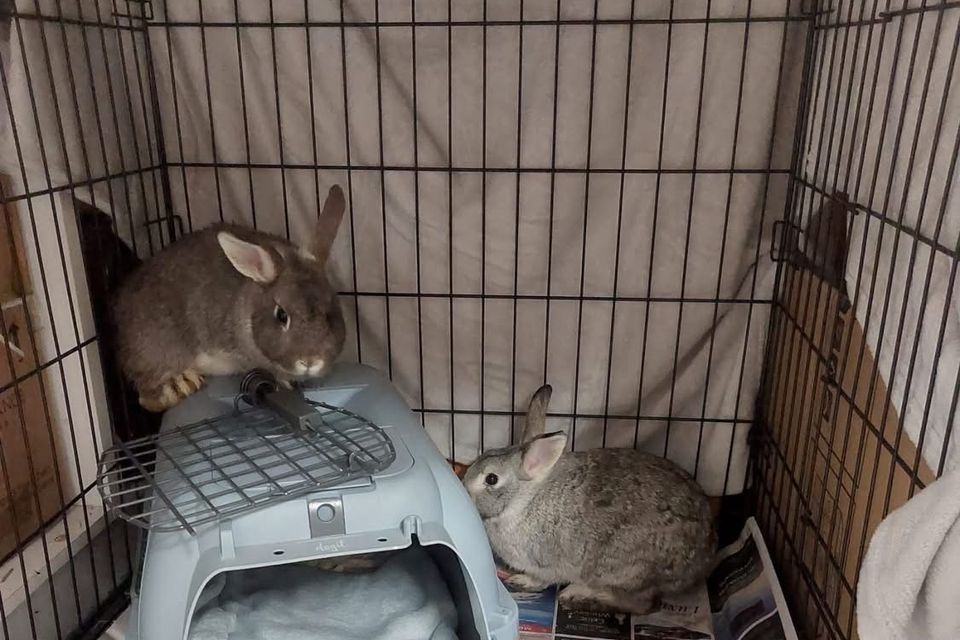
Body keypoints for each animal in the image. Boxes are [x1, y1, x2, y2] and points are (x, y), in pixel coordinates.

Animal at [113, 185, 347, 412]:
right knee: (147, 397)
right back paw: (182, 385)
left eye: (330, 313)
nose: (310, 360)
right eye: (282, 315)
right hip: (161, 349)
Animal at [462, 384, 717, 614]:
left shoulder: (546, 563)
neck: (523, 500)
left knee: (642, 605)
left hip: (625, 570)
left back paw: (580, 594)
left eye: (491, 479)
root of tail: (705, 557)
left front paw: (522, 580)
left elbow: (543, 579)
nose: (464, 490)